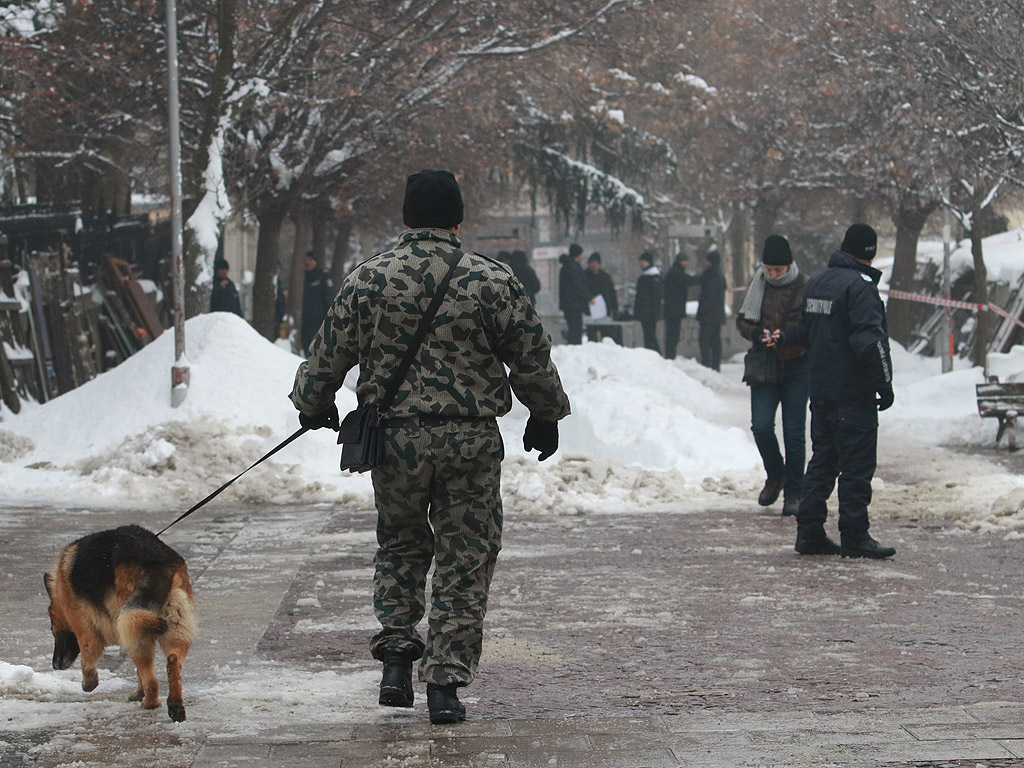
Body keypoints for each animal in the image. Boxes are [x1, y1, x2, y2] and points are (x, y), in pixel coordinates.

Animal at [43, 524, 197, 720]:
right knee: (172, 661)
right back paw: (175, 706)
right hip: (170, 627)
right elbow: (139, 673)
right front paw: (138, 692)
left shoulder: (84, 630)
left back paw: (150, 703)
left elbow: (89, 657)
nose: (55, 665)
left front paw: (89, 683)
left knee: (152, 683)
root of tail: (157, 562)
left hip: (130, 625)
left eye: (52, 628)